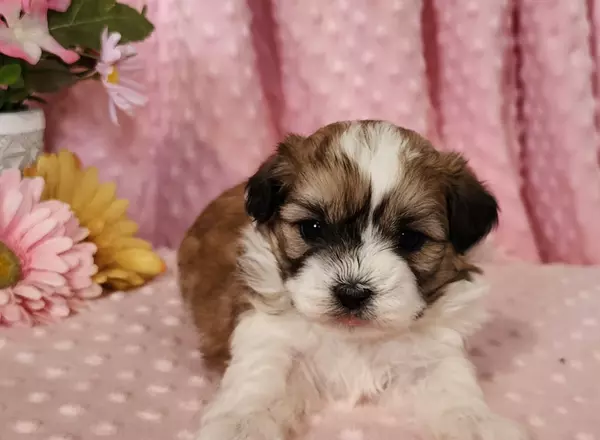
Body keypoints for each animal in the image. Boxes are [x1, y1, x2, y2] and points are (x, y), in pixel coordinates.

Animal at [176, 120, 528, 440]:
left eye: (410, 238)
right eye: (312, 228)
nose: (352, 293)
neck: (355, 339)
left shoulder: (435, 353)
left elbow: (454, 388)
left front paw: (479, 424)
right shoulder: (269, 336)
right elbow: (258, 381)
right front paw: (241, 426)